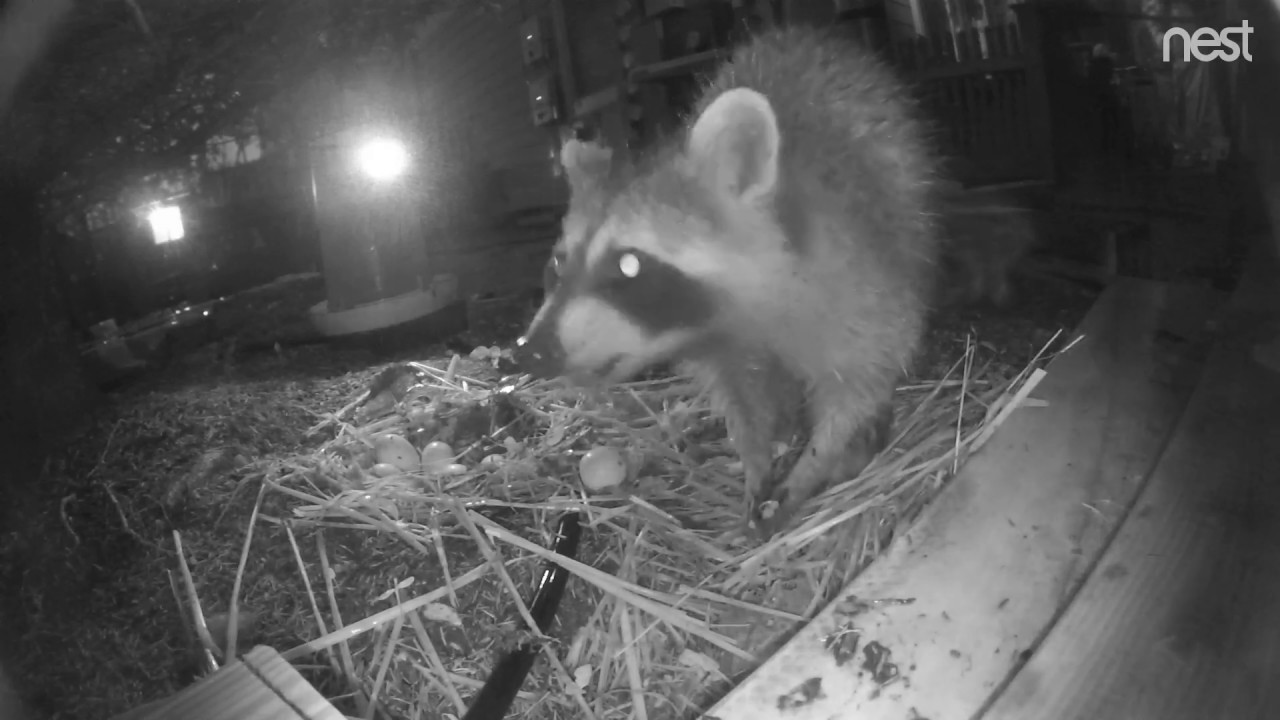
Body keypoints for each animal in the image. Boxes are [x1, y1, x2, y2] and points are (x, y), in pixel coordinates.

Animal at [513, 26, 941, 536]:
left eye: (629, 265)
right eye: (558, 265)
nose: (531, 351)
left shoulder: (862, 282)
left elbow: (860, 382)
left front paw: (815, 461)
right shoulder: (725, 350)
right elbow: (742, 400)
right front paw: (756, 456)